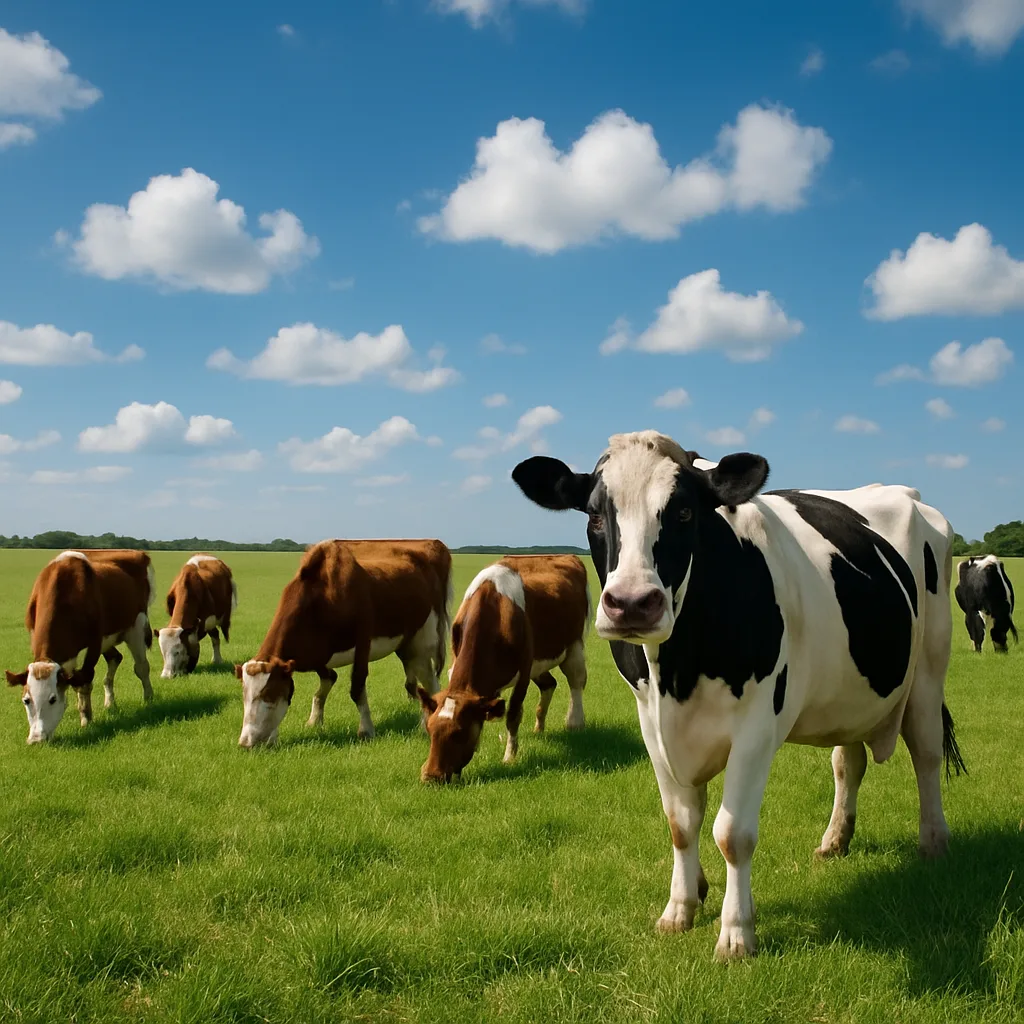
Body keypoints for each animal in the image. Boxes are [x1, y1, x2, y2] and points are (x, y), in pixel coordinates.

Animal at [5, 549, 156, 743]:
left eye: (52, 699)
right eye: (26, 700)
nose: (36, 739)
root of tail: (139, 554)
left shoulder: (94, 644)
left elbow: (83, 682)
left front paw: (86, 719)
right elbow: (75, 680)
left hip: (136, 626)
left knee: (141, 667)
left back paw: (149, 697)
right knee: (115, 658)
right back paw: (110, 702)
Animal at [237, 538, 451, 748]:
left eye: (269, 694)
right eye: (244, 696)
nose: (245, 742)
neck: (321, 601)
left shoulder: (363, 641)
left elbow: (356, 687)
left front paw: (366, 729)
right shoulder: (317, 654)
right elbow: (327, 680)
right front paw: (313, 721)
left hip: (423, 641)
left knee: (430, 681)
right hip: (406, 644)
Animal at [417, 554, 590, 783]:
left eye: (460, 733)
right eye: (429, 730)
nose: (431, 776)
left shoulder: (524, 671)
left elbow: (513, 714)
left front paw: (509, 757)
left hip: (574, 645)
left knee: (576, 681)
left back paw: (574, 722)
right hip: (539, 663)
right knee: (549, 684)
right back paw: (539, 727)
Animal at [511, 431, 965, 960]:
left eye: (685, 513)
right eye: (595, 514)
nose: (632, 604)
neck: (678, 672)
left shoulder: (757, 726)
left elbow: (732, 834)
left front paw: (735, 932)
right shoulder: (650, 722)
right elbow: (680, 823)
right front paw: (680, 908)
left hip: (930, 668)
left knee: (927, 754)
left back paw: (933, 842)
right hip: (847, 693)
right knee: (847, 763)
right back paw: (835, 840)